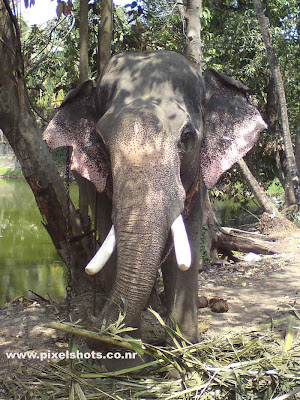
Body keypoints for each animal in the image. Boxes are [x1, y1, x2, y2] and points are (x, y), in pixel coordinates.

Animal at [42, 50, 268, 346]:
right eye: (101, 141)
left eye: (187, 137)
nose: (96, 333)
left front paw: (183, 348)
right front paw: (123, 348)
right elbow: (108, 237)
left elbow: (187, 247)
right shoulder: (102, 189)